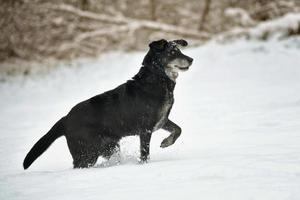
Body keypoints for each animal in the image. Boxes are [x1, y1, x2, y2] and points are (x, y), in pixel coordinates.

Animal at [22, 38, 192, 169]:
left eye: (179, 50)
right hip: (86, 153)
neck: (156, 80)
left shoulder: (162, 120)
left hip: (109, 147)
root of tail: (65, 119)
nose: (191, 59)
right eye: (172, 52)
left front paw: (166, 142)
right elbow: (145, 153)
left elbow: (178, 129)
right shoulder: (145, 129)